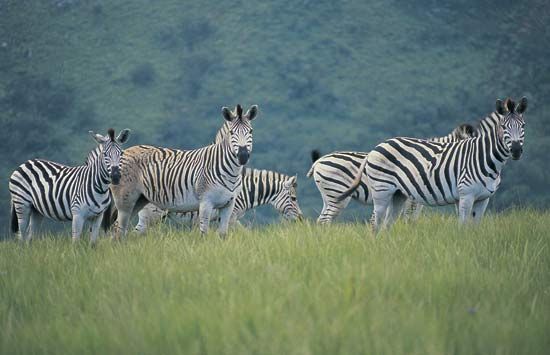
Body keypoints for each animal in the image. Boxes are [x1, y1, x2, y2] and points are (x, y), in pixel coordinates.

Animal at [112, 104, 260, 238]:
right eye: (231, 132)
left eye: (251, 131)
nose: (243, 155)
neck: (230, 172)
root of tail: (125, 151)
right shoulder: (205, 203)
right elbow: (204, 234)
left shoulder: (228, 205)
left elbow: (223, 234)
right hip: (126, 201)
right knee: (118, 229)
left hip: (139, 200)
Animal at [135, 170, 304, 234]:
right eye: (294, 199)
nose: (301, 220)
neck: (243, 191)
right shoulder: (232, 215)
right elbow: (244, 233)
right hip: (152, 215)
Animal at [308, 122, 476, 222]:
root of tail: (318, 161)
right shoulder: (412, 198)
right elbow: (407, 219)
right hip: (338, 193)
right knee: (325, 220)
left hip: (329, 195)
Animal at [340, 97, 532, 232]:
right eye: (504, 127)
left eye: (523, 125)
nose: (516, 150)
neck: (484, 157)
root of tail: (377, 146)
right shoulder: (466, 195)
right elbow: (463, 227)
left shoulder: (484, 198)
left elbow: (475, 228)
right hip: (382, 190)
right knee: (375, 222)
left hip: (398, 194)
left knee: (387, 224)